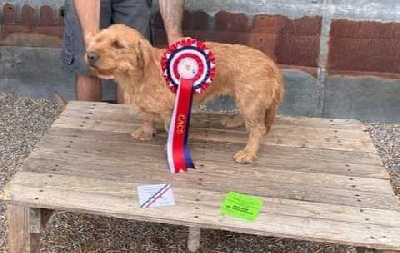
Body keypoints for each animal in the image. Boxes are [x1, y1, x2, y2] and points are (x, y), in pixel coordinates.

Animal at [85, 24, 282, 164]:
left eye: (118, 45)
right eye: (98, 40)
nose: (90, 55)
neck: (138, 75)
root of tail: (270, 63)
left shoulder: (170, 111)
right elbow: (148, 118)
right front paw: (146, 132)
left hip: (249, 100)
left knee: (257, 129)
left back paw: (248, 152)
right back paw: (233, 122)